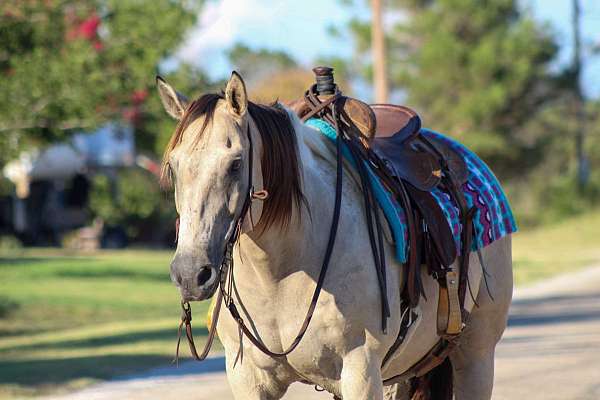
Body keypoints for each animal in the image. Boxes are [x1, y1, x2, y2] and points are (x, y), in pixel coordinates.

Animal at [157, 72, 512, 400]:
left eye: (236, 164)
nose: (190, 274)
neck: (280, 273)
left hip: (476, 355)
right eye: (173, 166)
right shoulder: (247, 378)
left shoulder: (361, 369)